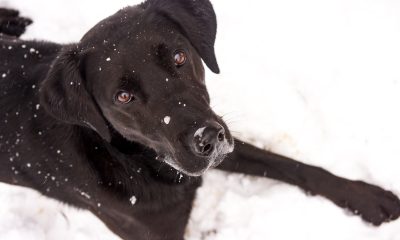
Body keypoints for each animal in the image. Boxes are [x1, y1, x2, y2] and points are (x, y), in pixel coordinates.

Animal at [0, 0, 398, 239]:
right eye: (123, 96)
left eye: (179, 57)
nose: (206, 139)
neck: (136, 161)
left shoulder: (220, 137)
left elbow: (292, 165)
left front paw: (367, 197)